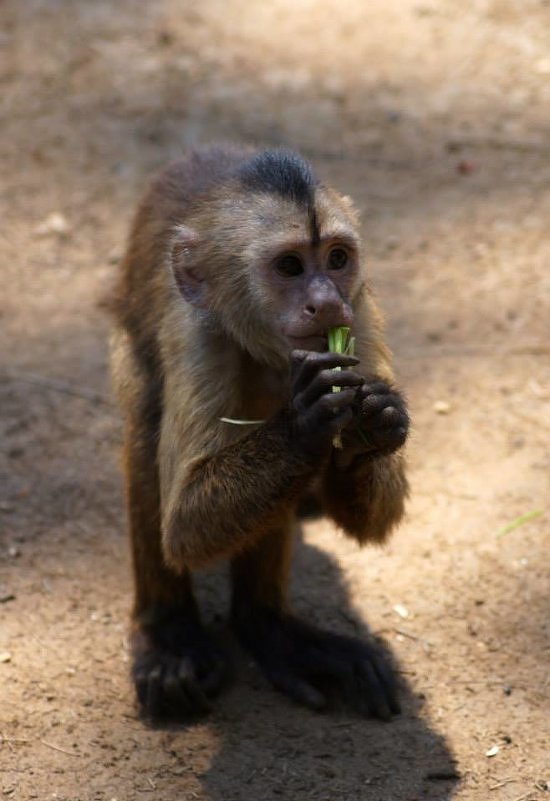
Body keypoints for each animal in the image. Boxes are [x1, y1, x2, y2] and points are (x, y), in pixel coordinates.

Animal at [110, 142, 410, 720]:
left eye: (337, 259)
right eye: (290, 266)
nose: (326, 302)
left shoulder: (359, 311)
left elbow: (375, 519)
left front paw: (372, 422)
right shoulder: (195, 333)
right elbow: (184, 527)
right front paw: (305, 422)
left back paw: (269, 629)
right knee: (146, 424)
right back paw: (170, 635)